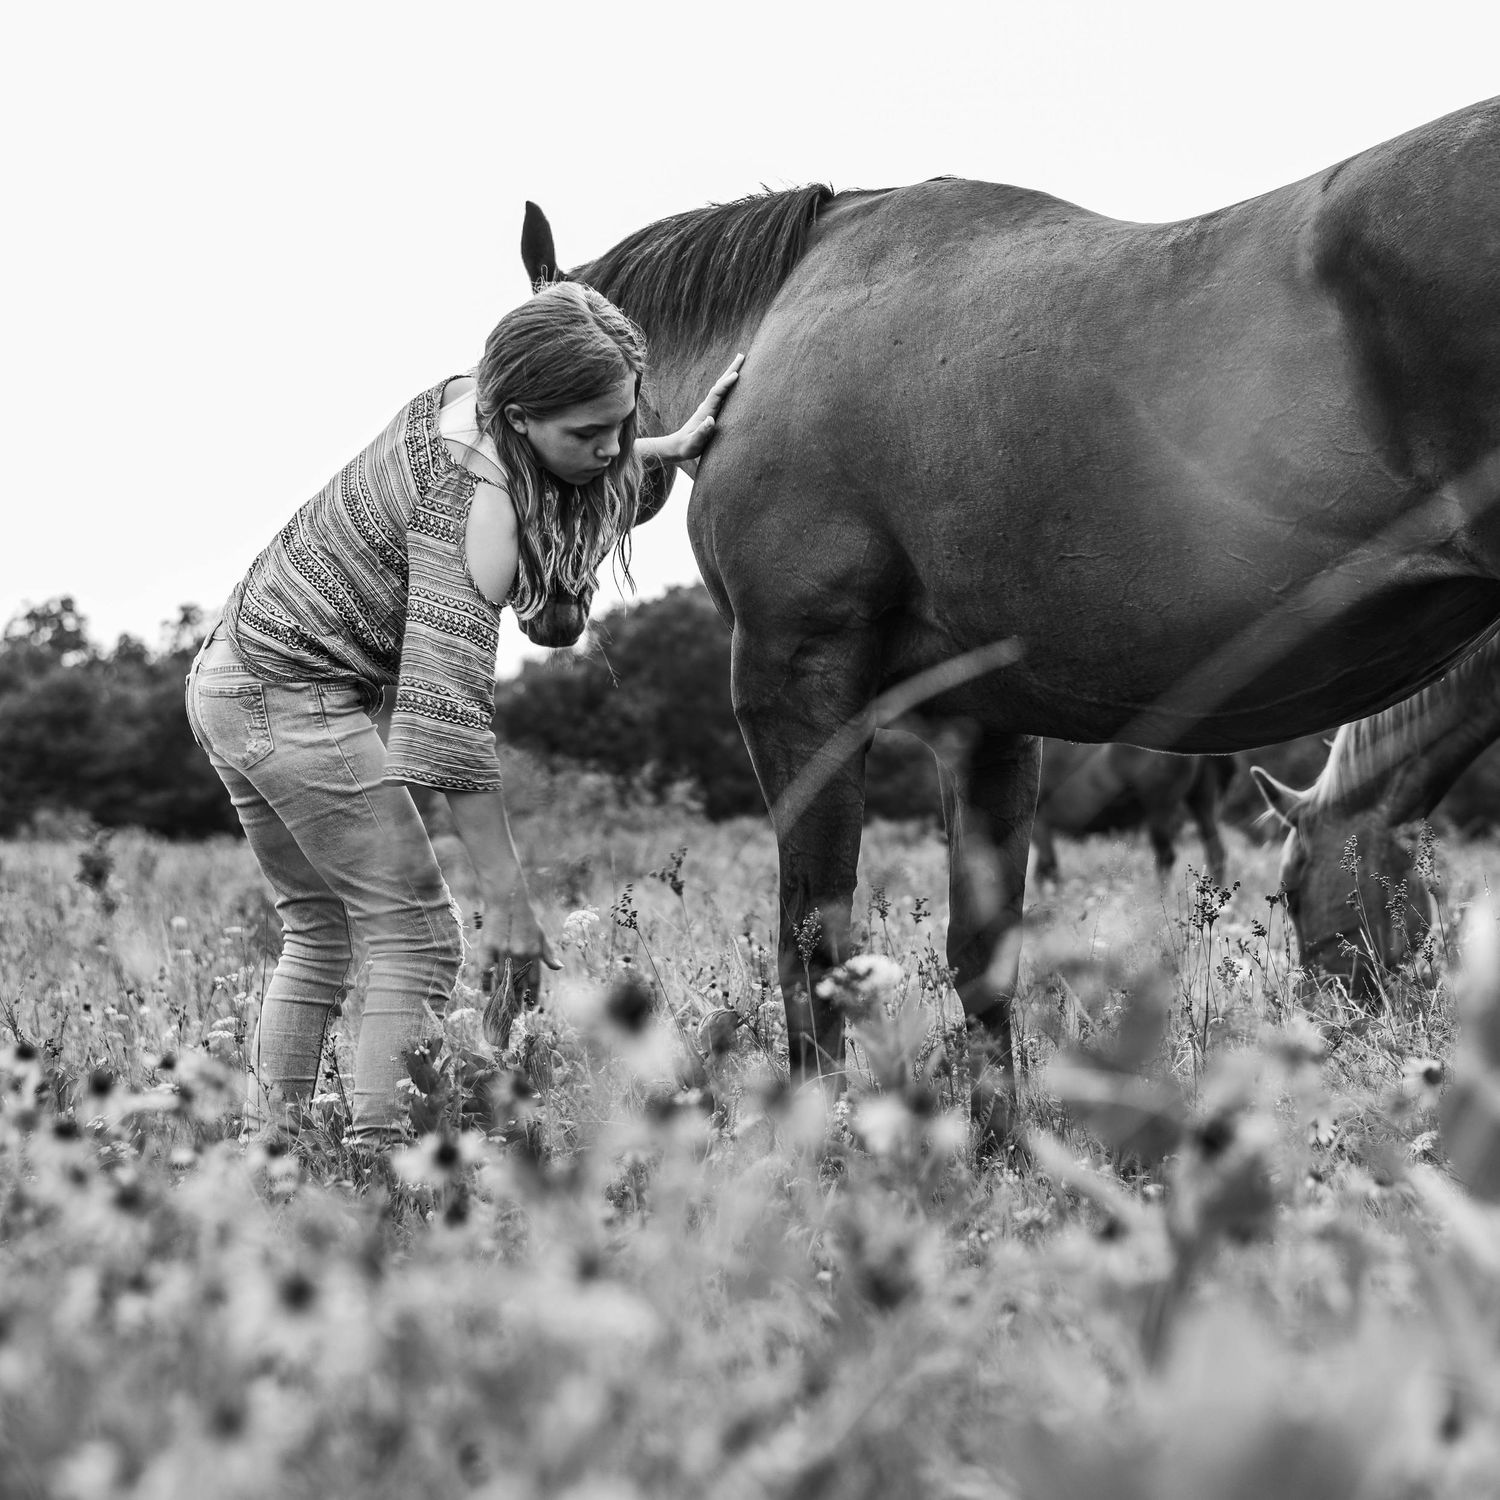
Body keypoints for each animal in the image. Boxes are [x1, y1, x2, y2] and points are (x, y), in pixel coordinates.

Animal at [1031, 743, 1234, 886]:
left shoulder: (1039, 824)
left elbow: (1048, 869)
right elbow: (1042, 872)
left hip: (1159, 810)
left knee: (1166, 858)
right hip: (1201, 801)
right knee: (1215, 851)